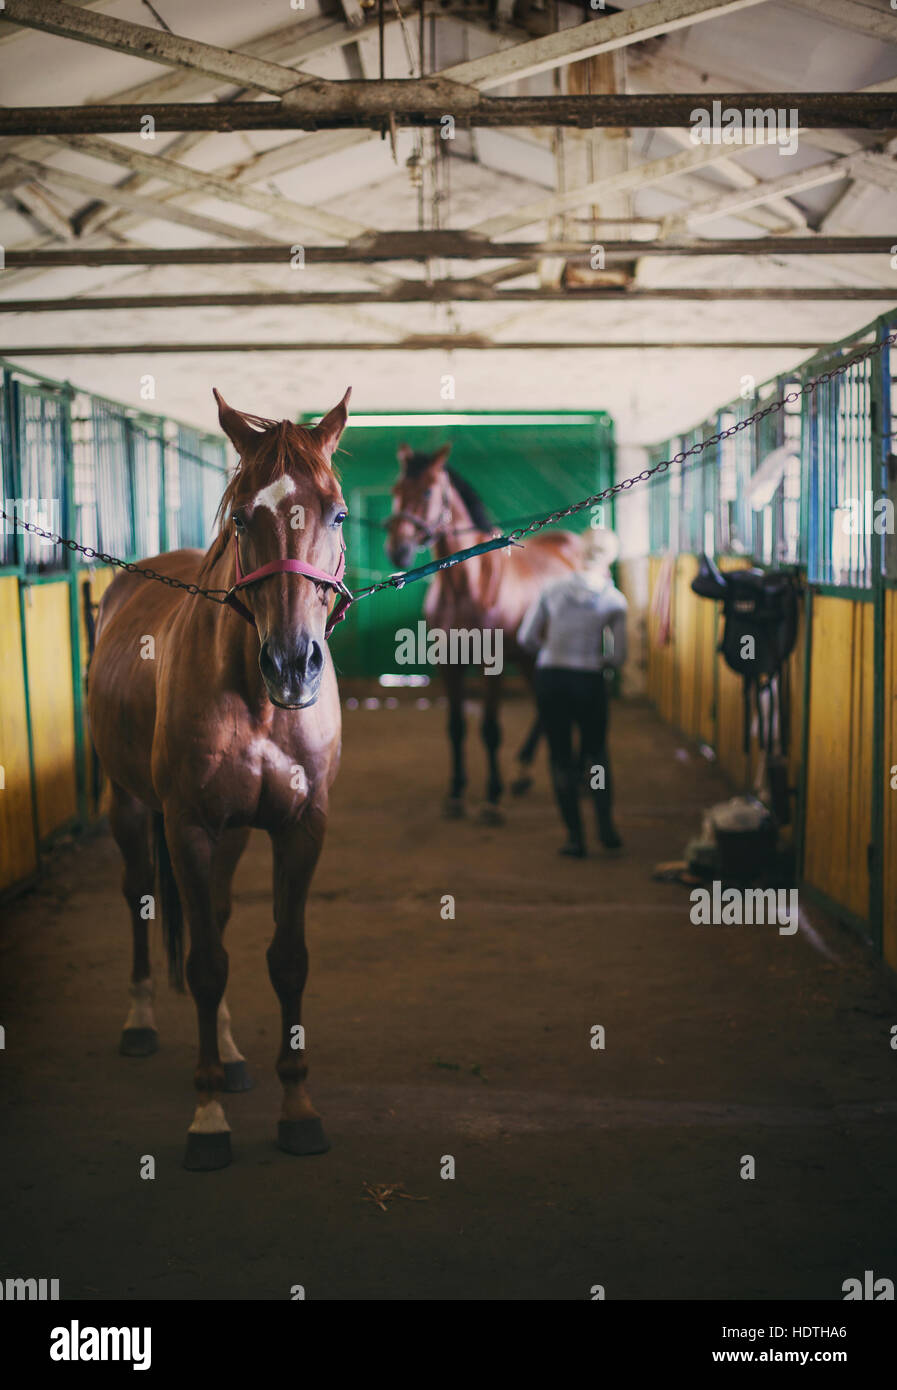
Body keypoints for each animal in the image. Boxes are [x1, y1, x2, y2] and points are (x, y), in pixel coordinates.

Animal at [87, 388, 352, 1170]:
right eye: (240, 517)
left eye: (336, 513)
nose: (292, 665)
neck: (256, 701)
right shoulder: (189, 828)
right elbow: (205, 964)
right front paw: (207, 1120)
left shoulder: (300, 827)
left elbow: (284, 959)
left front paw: (297, 1108)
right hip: (130, 808)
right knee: (141, 898)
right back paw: (141, 1021)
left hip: (232, 835)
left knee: (223, 917)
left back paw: (231, 1055)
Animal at [385, 444, 583, 820]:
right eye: (396, 490)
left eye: (429, 491)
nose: (397, 550)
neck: (466, 585)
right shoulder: (448, 665)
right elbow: (456, 727)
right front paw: (456, 793)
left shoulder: (493, 665)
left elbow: (490, 729)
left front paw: (492, 796)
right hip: (529, 656)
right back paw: (523, 772)